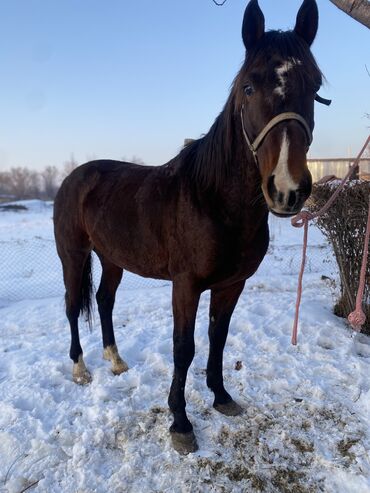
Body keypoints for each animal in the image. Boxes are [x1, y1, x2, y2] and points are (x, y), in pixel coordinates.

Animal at [54, 0, 324, 454]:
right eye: (248, 88)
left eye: (315, 84)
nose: (287, 189)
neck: (213, 199)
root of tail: (74, 177)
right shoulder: (186, 285)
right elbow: (184, 347)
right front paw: (180, 422)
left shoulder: (231, 284)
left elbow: (218, 336)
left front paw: (222, 396)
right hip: (74, 255)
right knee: (74, 306)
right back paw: (80, 369)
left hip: (112, 259)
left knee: (105, 301)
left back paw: (116, 361)